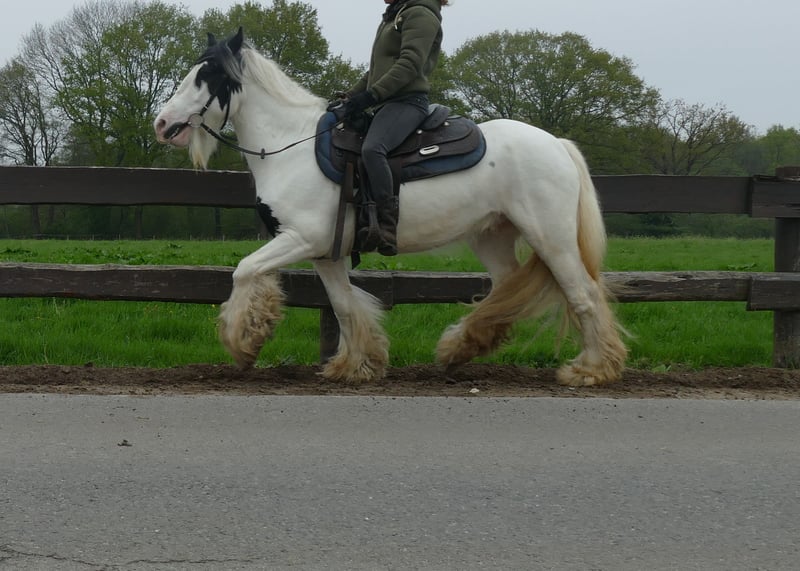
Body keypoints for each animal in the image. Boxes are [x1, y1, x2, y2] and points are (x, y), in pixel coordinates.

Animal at [153, 29, 627, 386]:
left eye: (206, 76)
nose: (162, 123)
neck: (290, 146)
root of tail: (557, 145)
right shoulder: (325, 252)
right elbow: (344, 305)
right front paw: (355, 365)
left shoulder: (301, 238)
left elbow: (245, 270)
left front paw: (244, 340)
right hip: (492, 234)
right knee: (507, 290)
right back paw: (460, 347)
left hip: (552, 237)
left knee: (583, 295)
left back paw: (592, 369)